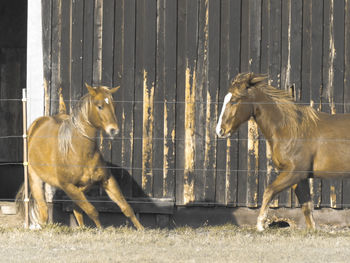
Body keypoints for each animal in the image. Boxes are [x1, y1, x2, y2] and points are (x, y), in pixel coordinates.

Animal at [17, 84, 143, 231]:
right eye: (99, 106)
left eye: (114, 105)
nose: (114, 130)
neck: (79, 151)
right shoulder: (67, 186)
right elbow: (92, 210)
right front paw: (101, 230)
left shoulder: (106, 180)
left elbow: (126, 207)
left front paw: (141, 229)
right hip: (35, 179)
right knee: (44, 210)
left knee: (76, 208)